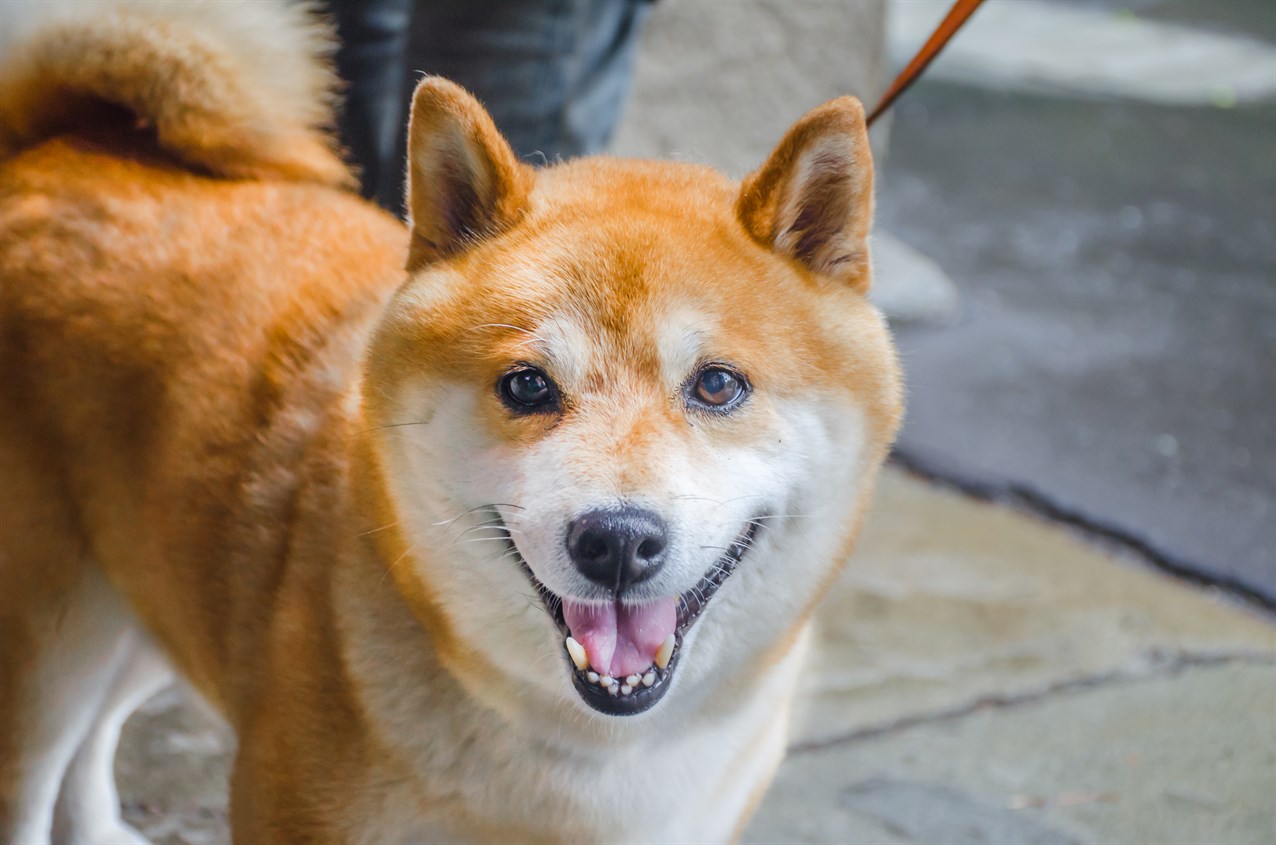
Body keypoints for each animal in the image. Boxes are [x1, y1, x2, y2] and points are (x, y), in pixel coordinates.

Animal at [0, 1, 903, 845]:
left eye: (716, 384)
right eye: (527, 385)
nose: (616, 541)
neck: (584, 762)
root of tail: (64, 143)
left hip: (143, 587)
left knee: (98, 725)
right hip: (52, 648)